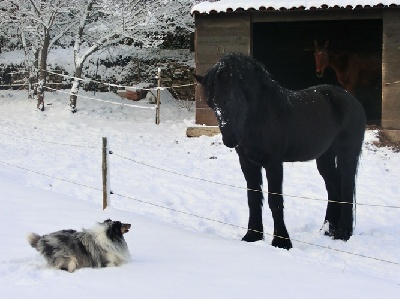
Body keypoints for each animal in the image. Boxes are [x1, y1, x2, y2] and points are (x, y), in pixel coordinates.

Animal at [195, 53, 366, 251]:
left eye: (231, 98)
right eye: (211, 103)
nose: (230, 140)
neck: (261, 116)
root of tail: (352, 101)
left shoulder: (274, 164)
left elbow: (275, 201)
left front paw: (281, 241)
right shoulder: (248, 163)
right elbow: (253, 199)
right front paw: (252, 236)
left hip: (348, 154)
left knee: (346, 187)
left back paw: (343, 233)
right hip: (325, 157)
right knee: (333, 187)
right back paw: (328, 229)